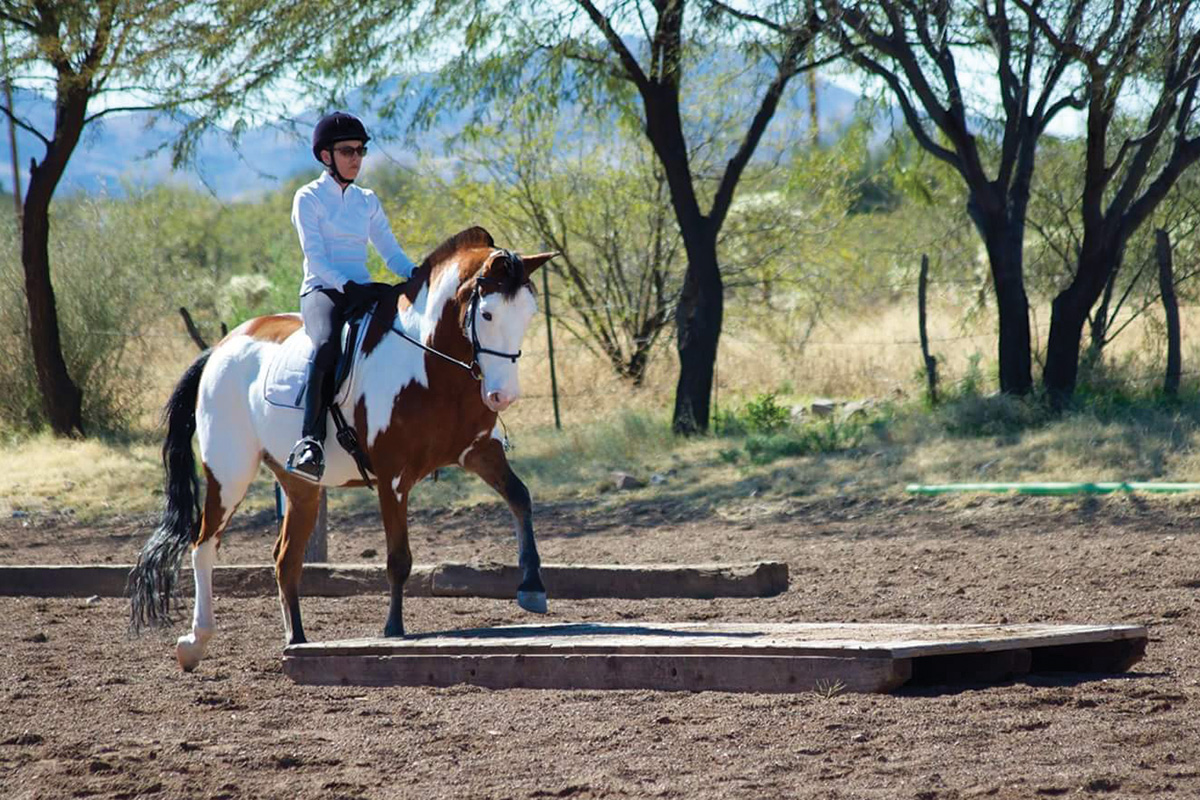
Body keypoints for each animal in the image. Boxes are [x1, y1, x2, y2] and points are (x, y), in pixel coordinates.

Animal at [129, 225, 559, 671]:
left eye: (528, 315)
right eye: (487, 315)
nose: (502, 397)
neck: (434, 367)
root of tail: (220, 347)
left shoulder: (478, 451)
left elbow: (520, 498)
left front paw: (532, 588)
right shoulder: (393, 476)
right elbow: (399, 557)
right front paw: (393, 630)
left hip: (300, 486)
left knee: (285, 559)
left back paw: (297, 641)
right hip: (229, 472)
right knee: (204, 546)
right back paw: (195, 642)